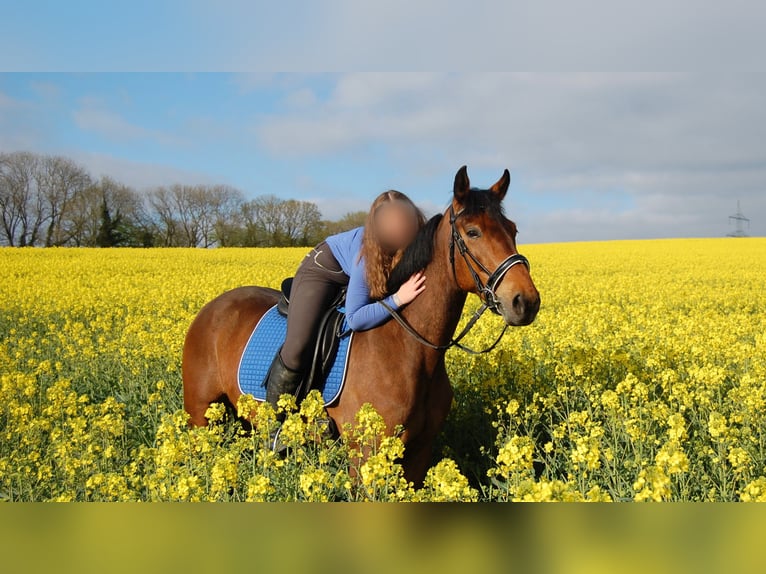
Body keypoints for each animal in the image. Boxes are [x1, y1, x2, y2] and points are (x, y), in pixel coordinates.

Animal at [183, 165, 544, 486]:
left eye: (513, 230)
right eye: (473, 232)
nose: (525, 301)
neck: (411, 348)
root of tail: (213, 307)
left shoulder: (419, 452)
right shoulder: (367, 455)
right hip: (200, 415)